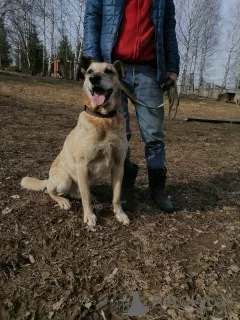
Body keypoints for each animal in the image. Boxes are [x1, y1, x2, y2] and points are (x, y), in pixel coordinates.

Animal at [20, 58, 130, 226]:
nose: (93, 79)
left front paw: (120, 214)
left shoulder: (118, 165)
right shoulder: (83, 166)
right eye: (90, 71)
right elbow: (85, 197)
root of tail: (48, 179)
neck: (103, 118)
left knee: (79, 193)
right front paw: (89, 215)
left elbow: (116, 195)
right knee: (51, 191)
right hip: (65, 179)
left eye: (108, 71)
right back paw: (63, 201)